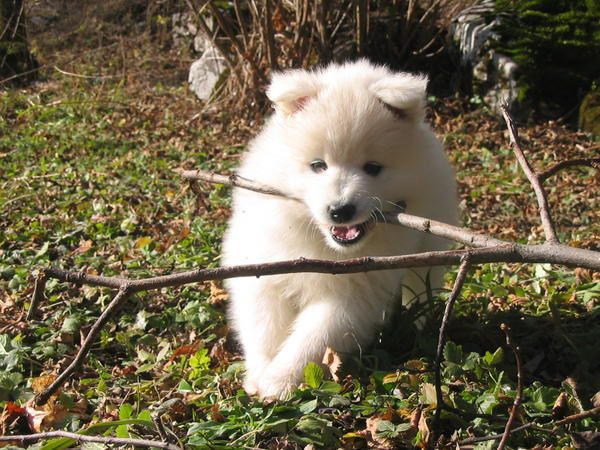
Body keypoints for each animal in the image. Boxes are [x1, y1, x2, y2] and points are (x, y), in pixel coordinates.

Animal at [223, 60, 458, 400]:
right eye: (318, 165)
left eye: (373, 168)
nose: (340, 210)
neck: (324, 246)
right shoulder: (262, 267)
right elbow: (264, 324)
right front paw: (261, 373)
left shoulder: (354, 294)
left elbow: (315, 339)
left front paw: (279, 381)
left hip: (429, 242)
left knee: (421, 283)